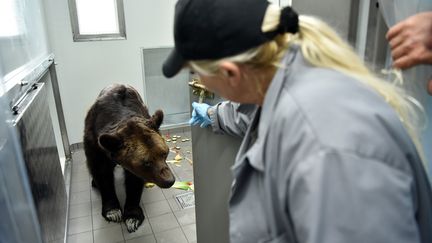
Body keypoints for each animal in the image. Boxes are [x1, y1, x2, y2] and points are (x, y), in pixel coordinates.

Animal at [83, 84, 175, 234]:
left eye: (164, 153)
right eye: (146, 162)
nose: (169, 180)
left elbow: (134, 181)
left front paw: (132, 217)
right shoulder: (94, 142)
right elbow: (101, 172)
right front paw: (113, 212)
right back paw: (94, 183)